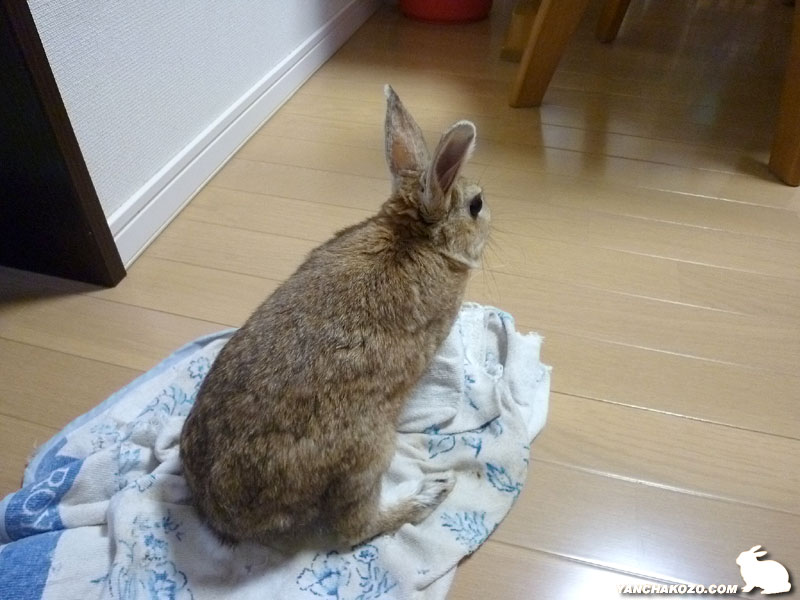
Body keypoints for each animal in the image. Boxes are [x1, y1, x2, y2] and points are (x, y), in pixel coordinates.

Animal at [179, 85, 490, 550]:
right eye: (476, 205)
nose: (491, 219)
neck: (417, 236)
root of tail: (228, 515)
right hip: (369, 453)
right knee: (352, 530)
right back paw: (429, 492)